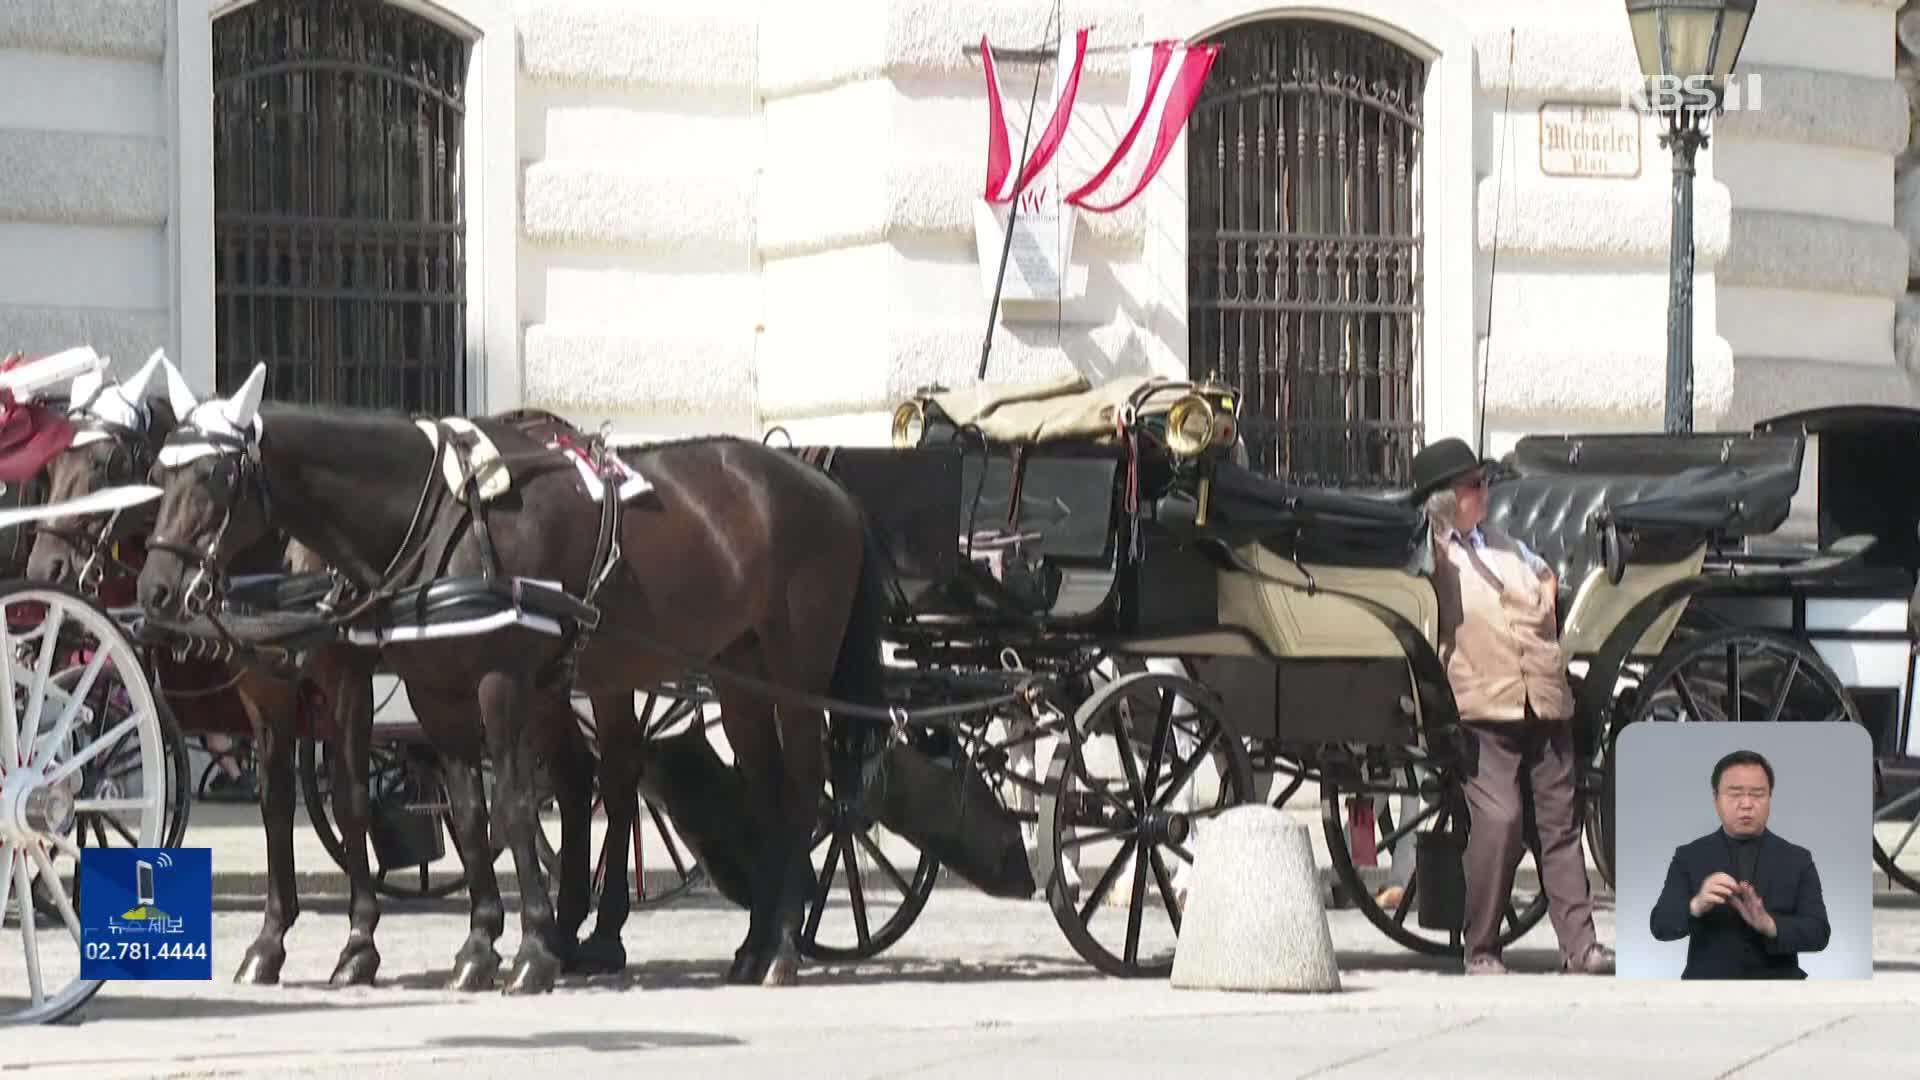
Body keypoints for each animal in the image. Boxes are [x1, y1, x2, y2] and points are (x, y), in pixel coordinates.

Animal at [135, 365, 883, 991]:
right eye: (156, 476)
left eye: (214, 477)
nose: (157, 591)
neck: (443, 516)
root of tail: (827, 486)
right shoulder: (422, 693)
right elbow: (462, 812)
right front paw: (478, 946)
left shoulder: (468, 682)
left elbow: (506, 806)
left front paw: (516, 951)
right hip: (732, 674)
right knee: (708, 782)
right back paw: (732, 941)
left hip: (793, 668)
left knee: (800, 787)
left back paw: (778, 944)